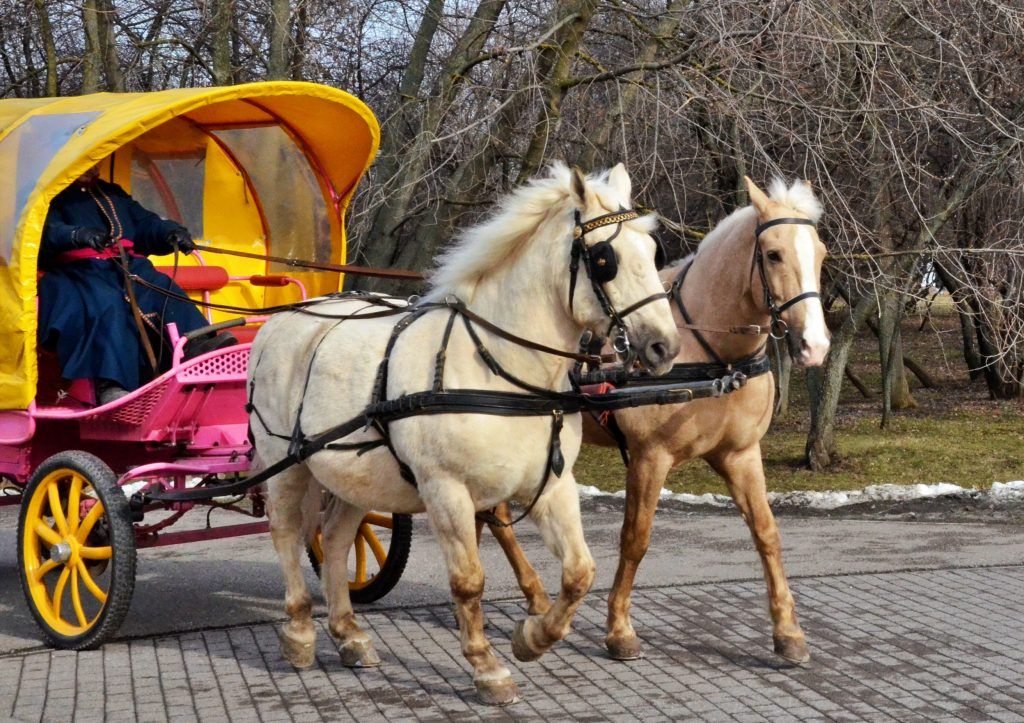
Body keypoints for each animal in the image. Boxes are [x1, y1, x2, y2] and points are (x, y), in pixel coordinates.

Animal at [247, 161, 679, 704]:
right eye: (606, 259)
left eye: (653, 250)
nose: (665, 346)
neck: (500, 369)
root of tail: (279, 322)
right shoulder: (446, 490)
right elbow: (469, 581)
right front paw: (487, 668)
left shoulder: (552, 485)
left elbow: (580, 572)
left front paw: (532, 637)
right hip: (286, 464)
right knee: (285, 532)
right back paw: (301, 632)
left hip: (351, 476)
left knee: (340, 539)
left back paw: (349, 635)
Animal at [483, 176, 827, 663]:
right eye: (774, 254)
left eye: (821, 253)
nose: (816, 345)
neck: (711, 354)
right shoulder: (650, 457)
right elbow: (636, 539)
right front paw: (619, 629)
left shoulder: (740, 454)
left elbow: (767, 533)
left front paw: (788, 631)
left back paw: (534, 597)